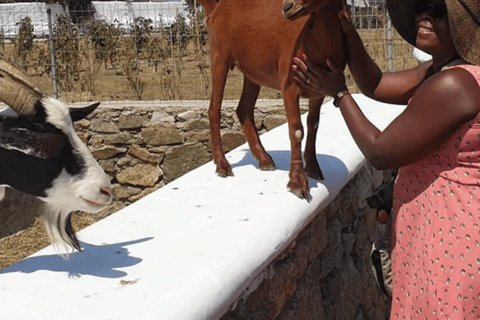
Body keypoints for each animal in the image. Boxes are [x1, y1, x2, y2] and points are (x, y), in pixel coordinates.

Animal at [199, 0, 344, 200]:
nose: (287, 7)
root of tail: (216, 8)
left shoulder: (319, 89)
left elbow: (313, 124)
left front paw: (314, 168)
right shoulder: (289, 85)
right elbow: (296, 130)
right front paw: (298, 183)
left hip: (252, 70)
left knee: (244, 109)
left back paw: (263, 158)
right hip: (219, 55)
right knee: (214, 108)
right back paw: (222, 165)